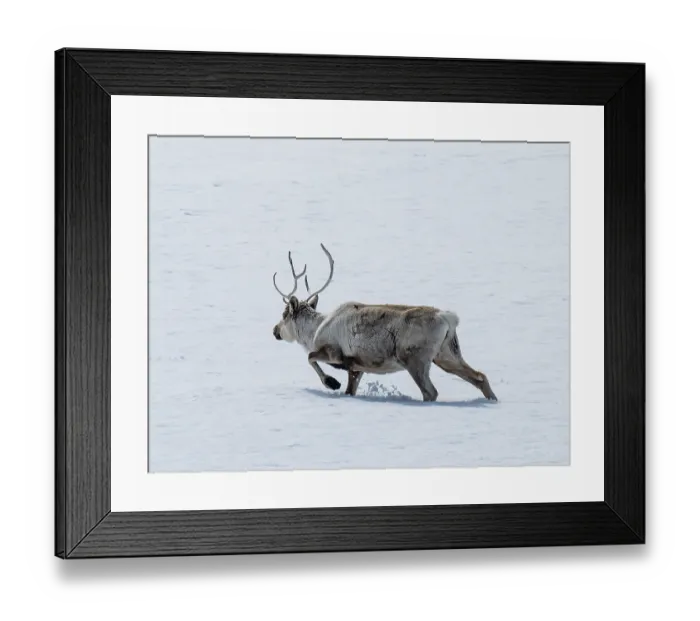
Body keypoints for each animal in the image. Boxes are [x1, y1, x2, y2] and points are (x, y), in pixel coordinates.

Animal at [271, 244, 497, 402]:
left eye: (284, 314)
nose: (275, 330)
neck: (314, 331)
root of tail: (448, 318)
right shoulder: (357, 367)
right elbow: (350, 390)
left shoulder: (335, 353)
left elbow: (310, 357)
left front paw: (332, 383)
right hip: (446, 355)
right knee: (480, 376)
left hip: (415, 359)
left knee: (430, 391)